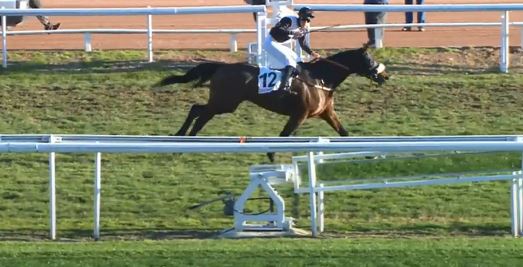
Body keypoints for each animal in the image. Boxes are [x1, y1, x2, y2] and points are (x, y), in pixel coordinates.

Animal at [158, 44, 390, 161]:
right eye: (369, 59)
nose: (384, 76)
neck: (321, 79)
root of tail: (221, 67)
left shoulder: (326, 113)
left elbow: (344, 133)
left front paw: (368, 154)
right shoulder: (299, 114)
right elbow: (284, 135)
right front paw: (271, 155)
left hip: (224, 103)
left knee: (197, 110)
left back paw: (180, 138)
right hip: (225, 103)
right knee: (200, 113)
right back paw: (183, 141)